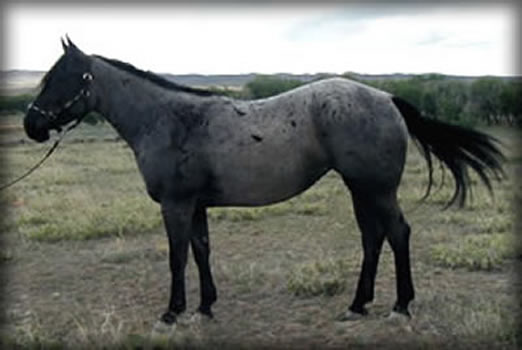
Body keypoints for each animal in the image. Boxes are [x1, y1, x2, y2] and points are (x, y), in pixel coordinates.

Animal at [22, 39, 502, 328]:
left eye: (62, 78)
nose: (31, 125)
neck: (169, 119)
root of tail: (385, 97)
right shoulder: (196, 206)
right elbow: (201, 251)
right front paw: (206, 306)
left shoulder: (176, 204)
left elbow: (177, 257)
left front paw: (172, 312)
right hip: (360, 189)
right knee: (373, 237)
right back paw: (358, 303)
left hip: (376, 189)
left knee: (397, 233)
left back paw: (400, 305)